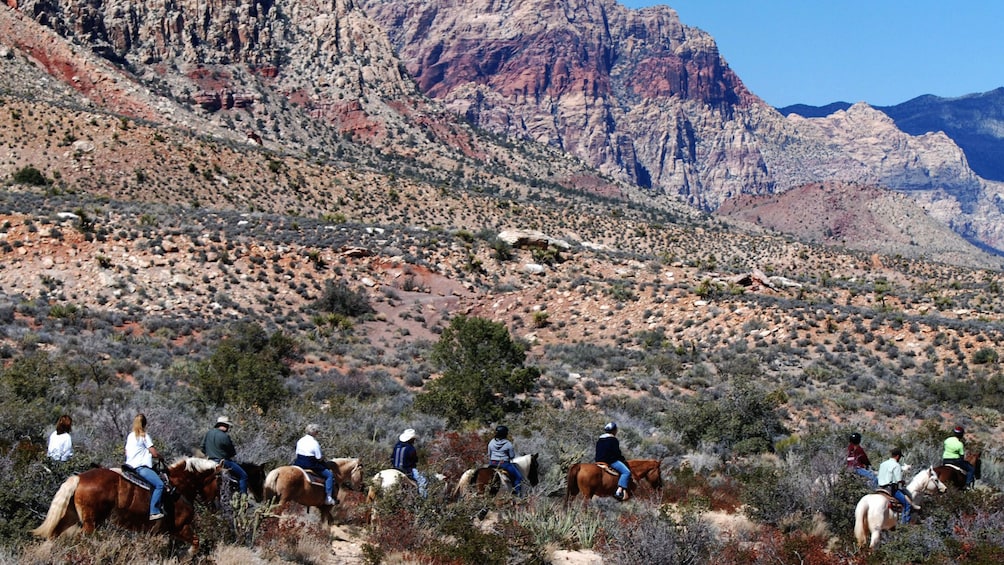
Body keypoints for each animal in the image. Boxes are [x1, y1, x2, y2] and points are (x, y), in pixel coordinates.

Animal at [33, 457, 219, 553]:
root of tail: (78, 478)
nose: (215, 505)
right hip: (91, 523)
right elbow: (195, 542)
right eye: (218, 480)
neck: (177, 487)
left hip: (70, 518)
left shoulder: (170, 532)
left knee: (54, 536)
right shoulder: (181, 527)